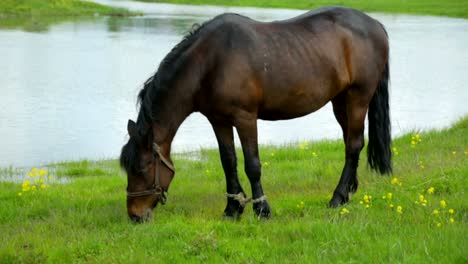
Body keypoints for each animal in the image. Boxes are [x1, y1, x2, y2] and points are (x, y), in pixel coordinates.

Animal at [119, 5, 390, 223]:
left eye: (142, 168)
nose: (135, 215)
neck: (209, 62)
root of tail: (376, 25)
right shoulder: (218, 121)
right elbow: (228, 162)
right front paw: (232, 209)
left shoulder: (245, 118)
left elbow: (252, 164)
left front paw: (262, 210)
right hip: (340, 101)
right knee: (351, 143)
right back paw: (348, 192)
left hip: (358, 98)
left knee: (353, 145)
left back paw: (336, 198)